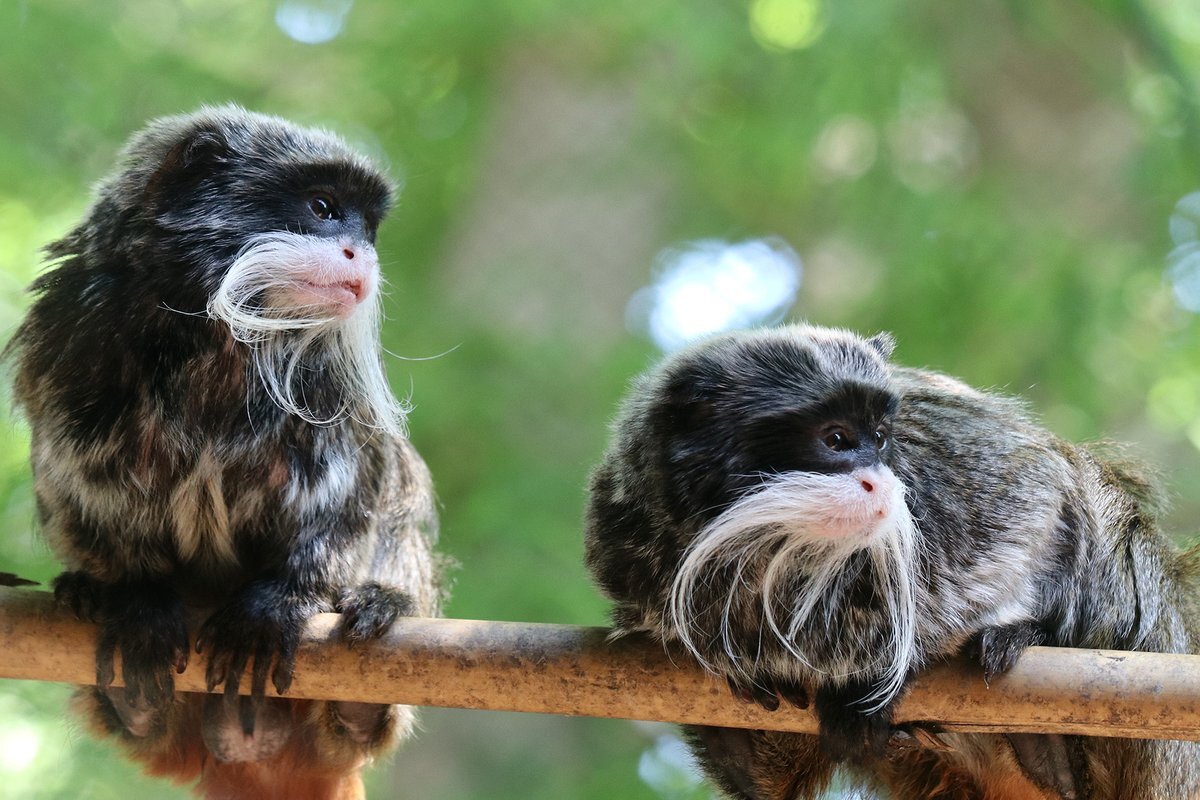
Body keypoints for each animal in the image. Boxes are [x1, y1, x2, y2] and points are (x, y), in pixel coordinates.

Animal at [7, 106, 444, 800]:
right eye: (323, 208)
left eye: (367, 228)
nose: (362, 254)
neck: (216, 334)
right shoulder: (70, 332)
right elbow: (75, 478)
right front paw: (135, 597)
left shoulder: (332, 384)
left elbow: (360, 489)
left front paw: (281, 600)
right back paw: (125, 684)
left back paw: (367, 663)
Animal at [583, 326, 1200, 800]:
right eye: (836, 439)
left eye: (881, 437)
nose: (878, 479)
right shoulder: (626, 542)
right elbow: (767, 783)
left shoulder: (943, 460)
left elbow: (1035, 485)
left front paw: (899, 669)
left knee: (1093, 495)